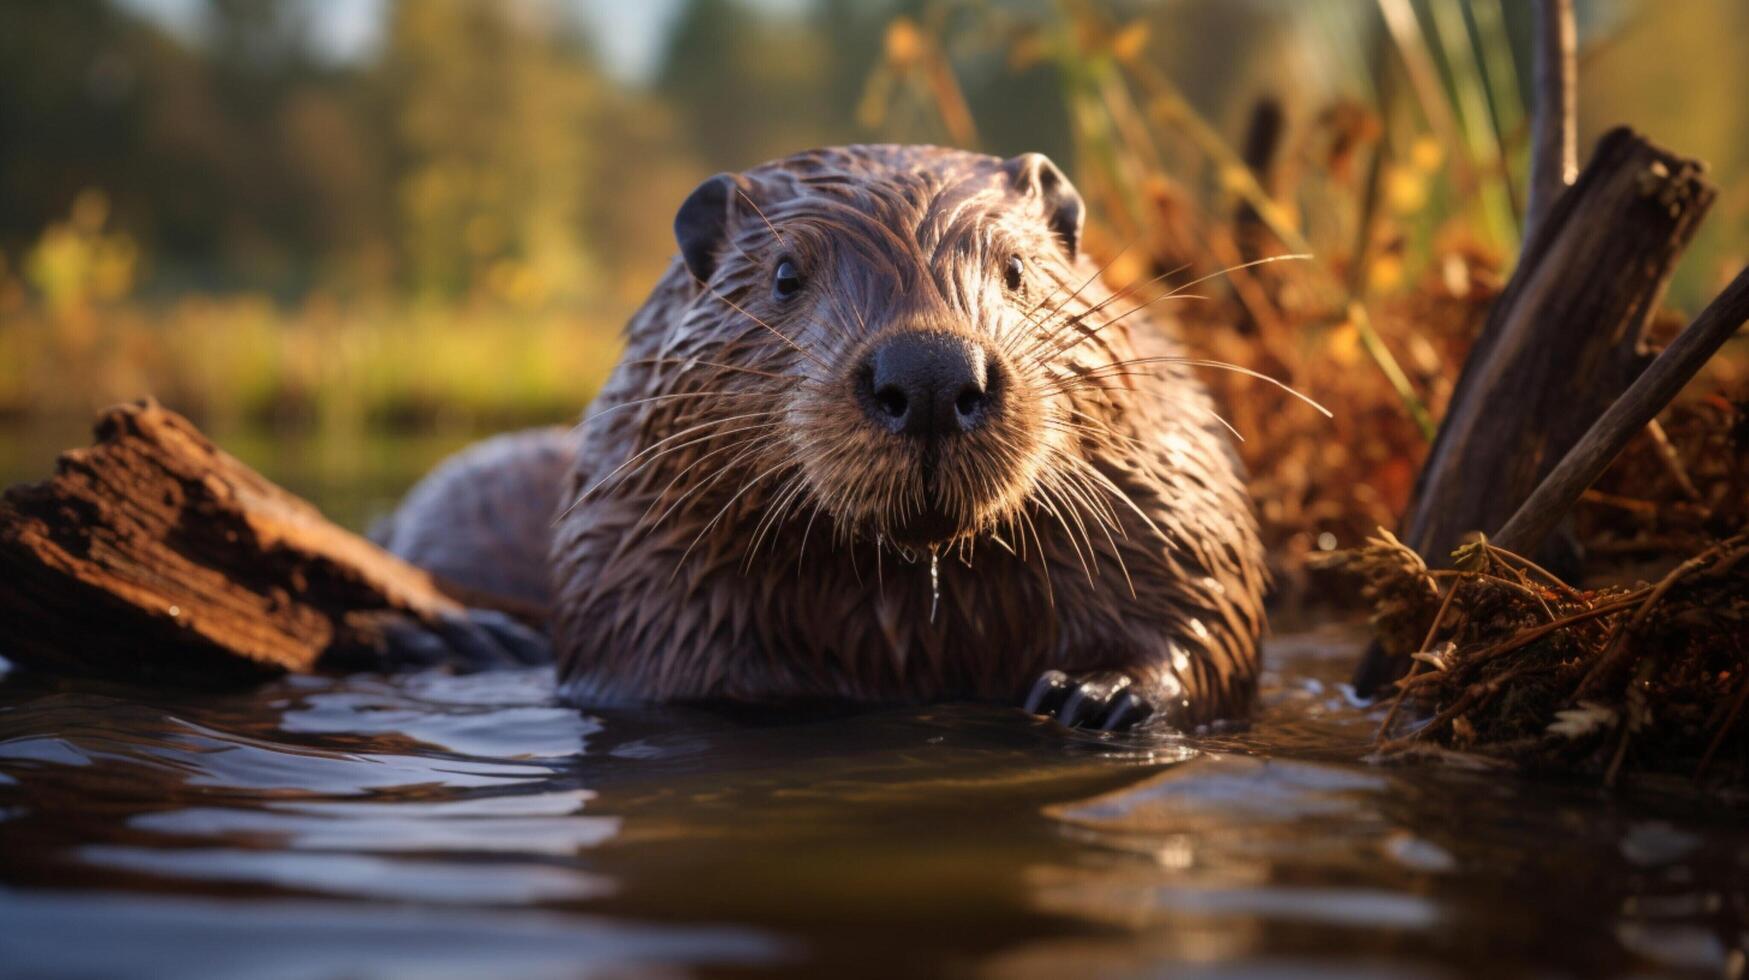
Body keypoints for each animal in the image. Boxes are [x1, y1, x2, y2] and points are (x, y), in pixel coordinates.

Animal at [383, 143, 1266, 728]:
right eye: (783, 274)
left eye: (1017, 268)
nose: (931, 373)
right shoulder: (631, 524)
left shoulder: (1164, 474)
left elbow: (1206, 593)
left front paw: (1096, 693)